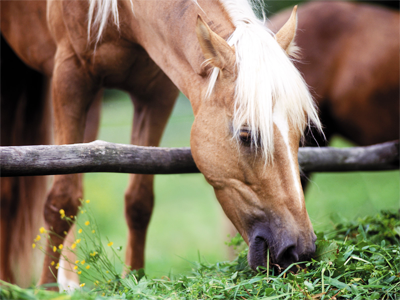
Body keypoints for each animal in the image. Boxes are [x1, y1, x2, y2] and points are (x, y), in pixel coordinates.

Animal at [0, 0, 322, 288]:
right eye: (246, 135)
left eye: (300, 134)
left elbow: (139, 202)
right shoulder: (70, 77)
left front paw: (135, 279)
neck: (122, 14)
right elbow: (62, 199)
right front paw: (46, 290)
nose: (299, 252)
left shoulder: (156, 95)